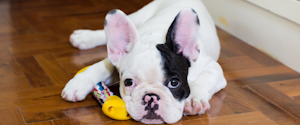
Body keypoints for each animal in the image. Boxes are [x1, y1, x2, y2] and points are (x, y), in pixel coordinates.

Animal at [61, 0, 226, 123]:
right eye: (128, 82)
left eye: (174, 83)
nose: (151, 97)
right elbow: (101, 67)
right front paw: (79, 83)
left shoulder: (213, 67)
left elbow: (203, 79)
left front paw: (193, 99)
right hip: (140, 15)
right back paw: (85, 37)